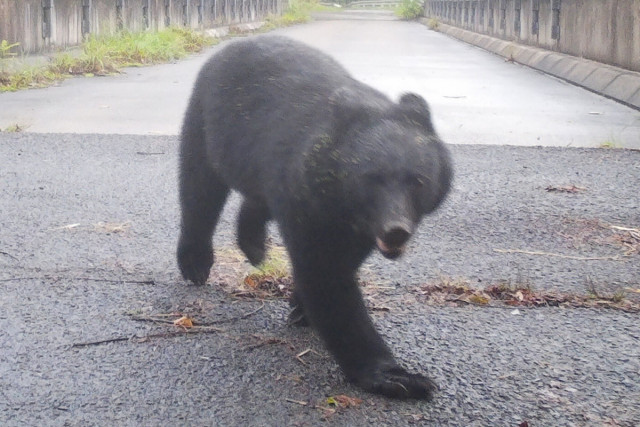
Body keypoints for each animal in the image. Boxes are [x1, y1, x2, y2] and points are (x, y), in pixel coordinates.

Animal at [178, 35, 452, 400]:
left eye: (418, 180)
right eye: (371, 179)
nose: (396, 231)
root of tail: (234, 44)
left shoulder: (353, 223)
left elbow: (343, 261)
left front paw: (299, 306)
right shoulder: (306, 198)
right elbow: (326, 275)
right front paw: (397, 376)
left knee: (253, 198)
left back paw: (253, 245)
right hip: (207, 121)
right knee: (199, 189)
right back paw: (195, 262)